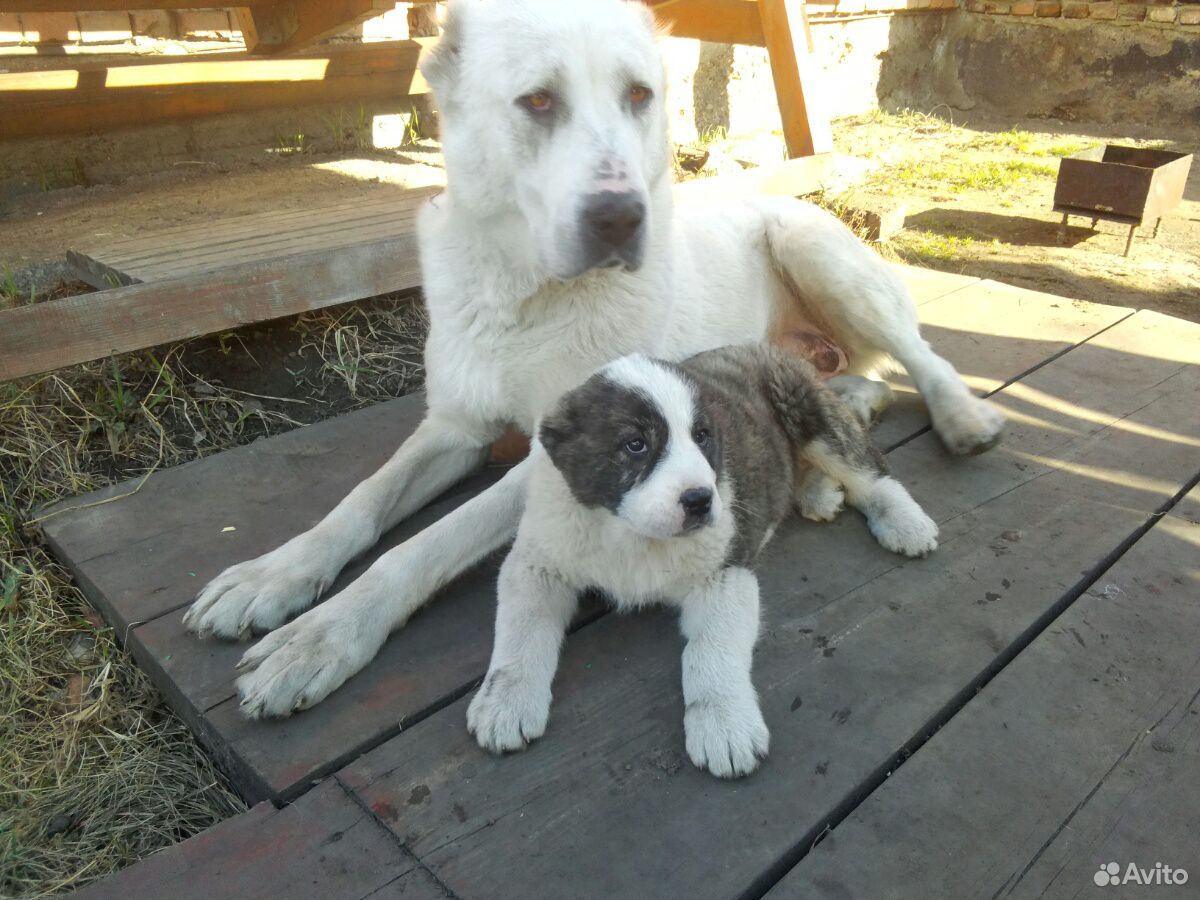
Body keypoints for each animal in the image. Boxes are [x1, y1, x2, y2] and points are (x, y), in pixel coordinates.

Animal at [180, 0, 1003, 720]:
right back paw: (823, 480)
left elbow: (422, 545)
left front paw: (324, 637)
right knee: (856, 386)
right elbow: (362, 503)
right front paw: (276, 576)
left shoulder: (552, 456)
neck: (525, 297)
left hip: (815, 249)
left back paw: (960, 420)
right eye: (538, 101)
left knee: (917, 358)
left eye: (639, 95)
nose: (621, 218)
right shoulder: (454, 426)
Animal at [463, 345, 931, 782]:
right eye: (636, 445)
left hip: (810, 413)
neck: (628, 533)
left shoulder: (724, 574)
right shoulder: (537, 561)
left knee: (869, 469)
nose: (701, 500)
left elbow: (710, 651)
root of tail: (761, 347)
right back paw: (817, 492)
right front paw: (504, 702)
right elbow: (521, 632)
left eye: (703, 436)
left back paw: (904, 522)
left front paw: (725, 727)